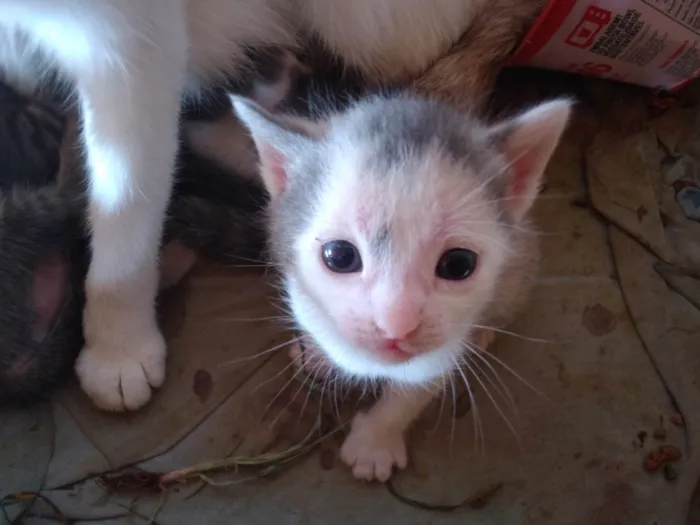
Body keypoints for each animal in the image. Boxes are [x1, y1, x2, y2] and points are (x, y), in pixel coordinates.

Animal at [232, 93, 572, 478]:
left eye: (458, 264)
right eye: (339, 256)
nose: (397, 324)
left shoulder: (445, 343)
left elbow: (414, 390)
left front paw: (374, 442)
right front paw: (318, 354)